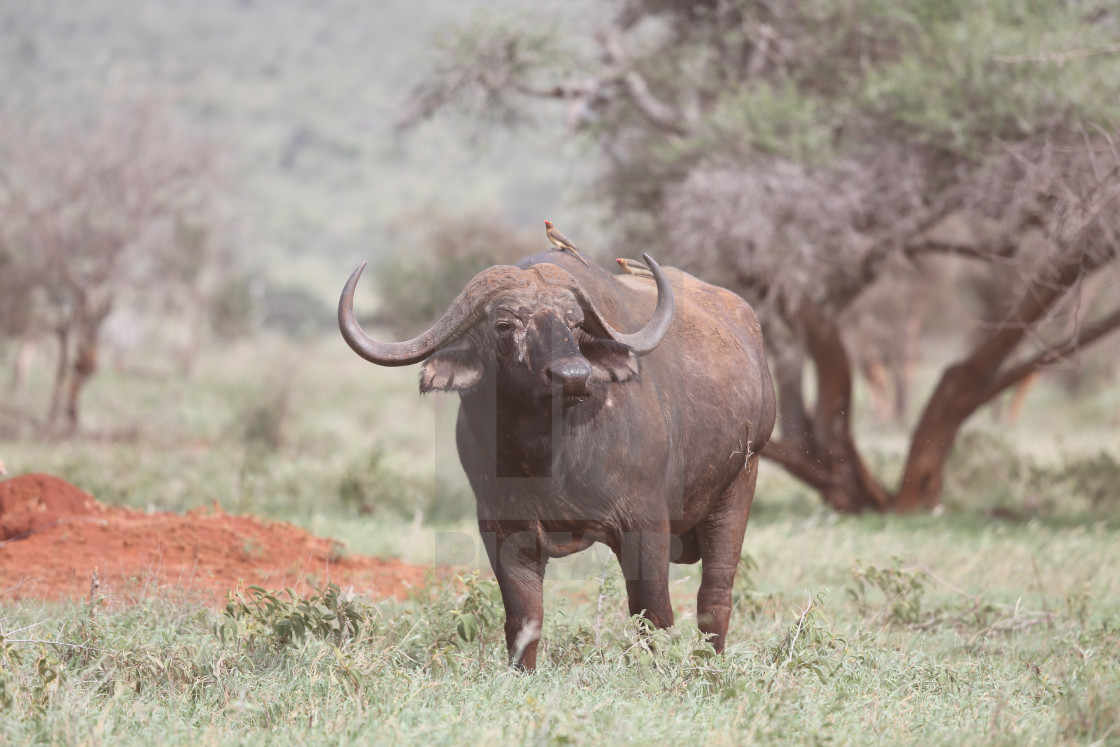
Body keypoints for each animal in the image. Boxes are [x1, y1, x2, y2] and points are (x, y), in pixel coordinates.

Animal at [340, 248, 775, 667]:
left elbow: (652, 612)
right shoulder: (502, 529)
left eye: (575, 323)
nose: (573, 376)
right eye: (504, 324)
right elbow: (524, 617)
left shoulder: (645, 521)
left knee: (714, 596)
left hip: (740, 484)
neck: (546, 456)